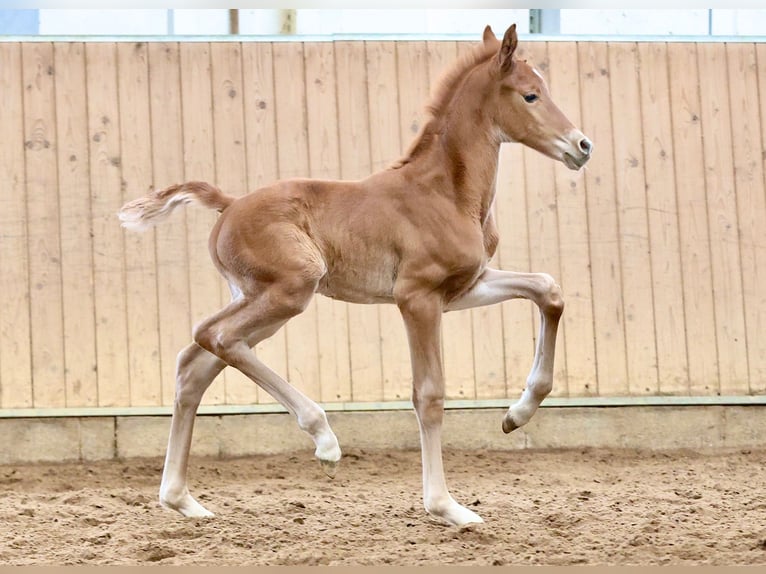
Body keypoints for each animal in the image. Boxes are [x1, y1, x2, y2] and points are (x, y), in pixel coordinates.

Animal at [118, 23, 592, 527]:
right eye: (530, 95)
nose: (582, 146)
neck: (446, 193)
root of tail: (228, 204)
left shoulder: (465, 288)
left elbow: (548, 289)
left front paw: (516, 415)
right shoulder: (417, 297)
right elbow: (429, 395)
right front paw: (446, 506)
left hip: (261, 299)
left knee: (197, 360)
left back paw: (182, 499)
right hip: (292, 288)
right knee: (218, 338)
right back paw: (323, 438)